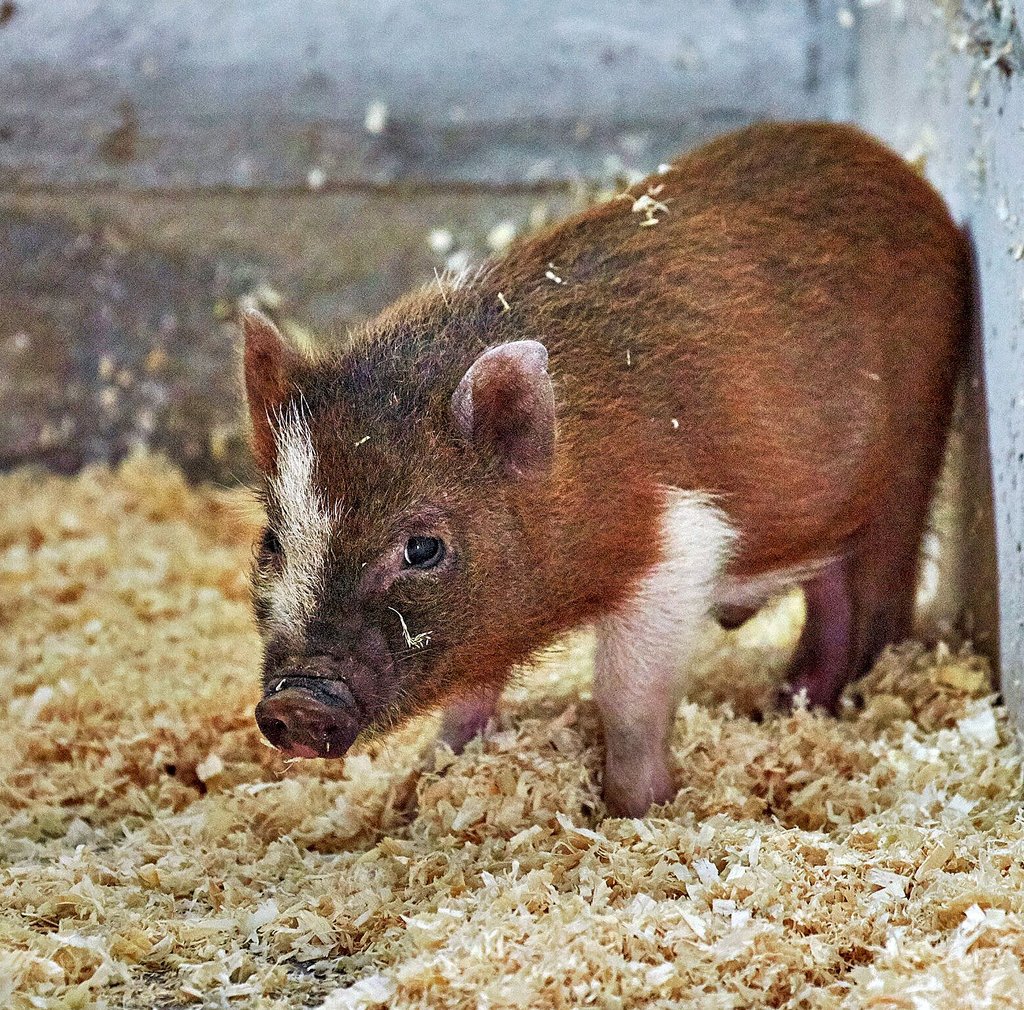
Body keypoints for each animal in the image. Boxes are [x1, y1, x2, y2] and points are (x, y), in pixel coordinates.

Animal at [243, 122, 968, 817]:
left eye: (423, 548)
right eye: (272, 541)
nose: (295, 702)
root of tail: (906, 175)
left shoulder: (675, 551)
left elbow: (625, 701)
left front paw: (641, 811)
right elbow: (472, 693)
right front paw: (431, 777)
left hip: (912, 456)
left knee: (874, 597)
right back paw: (789, 704)